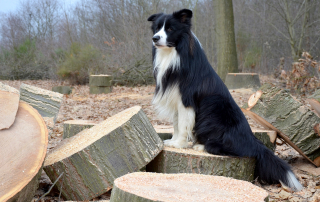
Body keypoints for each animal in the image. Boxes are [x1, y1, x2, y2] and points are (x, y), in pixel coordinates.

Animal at [148, 8, 302, 191]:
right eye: (157, 28)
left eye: (171, 29)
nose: (155, 38)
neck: (174, 53)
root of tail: (253, 142)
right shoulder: (176, 100)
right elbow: (177, 124)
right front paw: (173, 140)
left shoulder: (186, 100)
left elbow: (184, 125)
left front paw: (178, 144)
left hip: (214, 115)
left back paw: (202, 145)